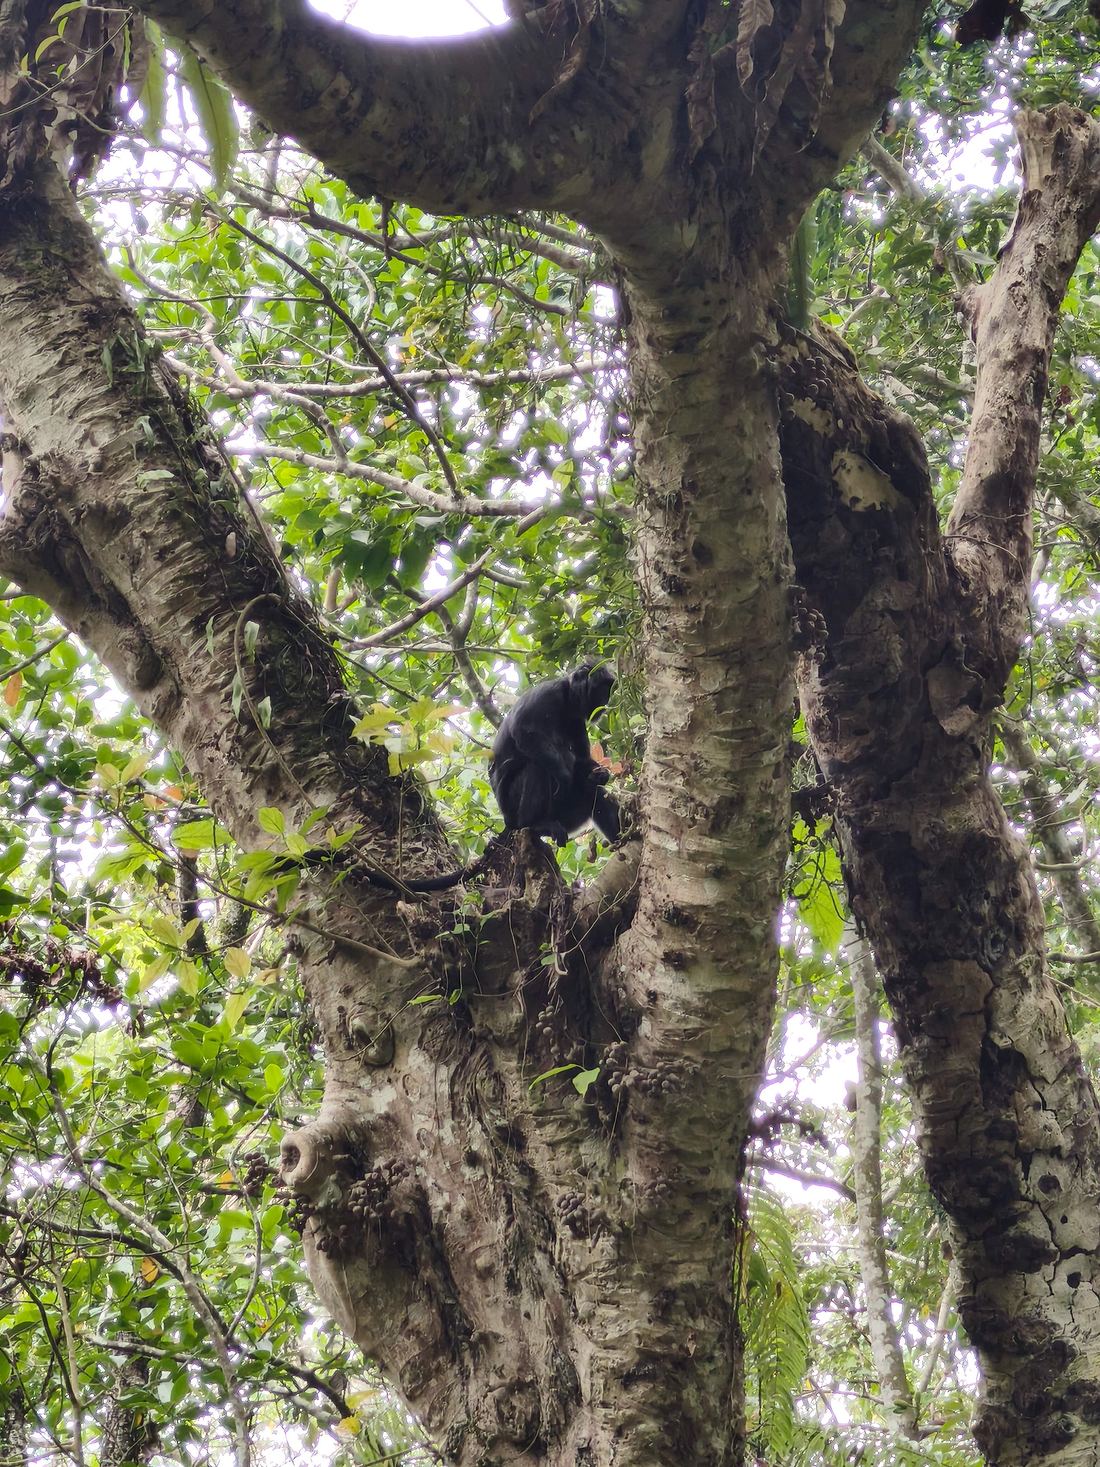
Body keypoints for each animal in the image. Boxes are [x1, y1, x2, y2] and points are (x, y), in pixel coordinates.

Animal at [489, 663, 621, 847]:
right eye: (601, 692)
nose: (604, 704)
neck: (566, 702)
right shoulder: (547, 693)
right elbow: (522, 732)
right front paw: (564, 776)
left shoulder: (576, 719)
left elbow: (582, 759)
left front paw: (602, 774)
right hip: (514, 807)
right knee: (537, 766)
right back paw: (535, 824)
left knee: (594, 791)